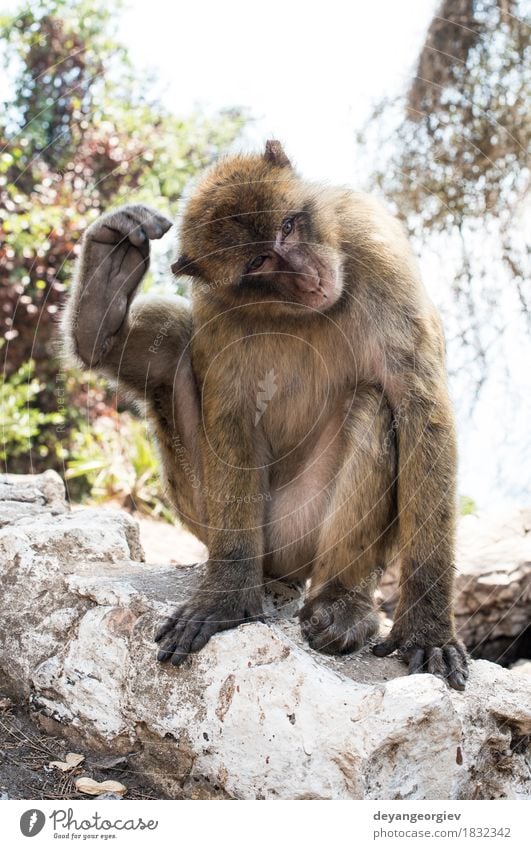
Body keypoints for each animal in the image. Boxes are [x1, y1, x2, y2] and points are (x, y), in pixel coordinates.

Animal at [63, 139, 470, 688]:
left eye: (289, 227)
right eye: (258, 261)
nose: (310, 275)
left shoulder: (373, 242)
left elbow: (419, 407)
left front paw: (427, 629)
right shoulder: (217, 305)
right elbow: (233, 416)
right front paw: (227, 598)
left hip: (302, 529)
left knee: (372, 403)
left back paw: (341, 601)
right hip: (217, 519)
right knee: (175, 346)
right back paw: (100, 307)